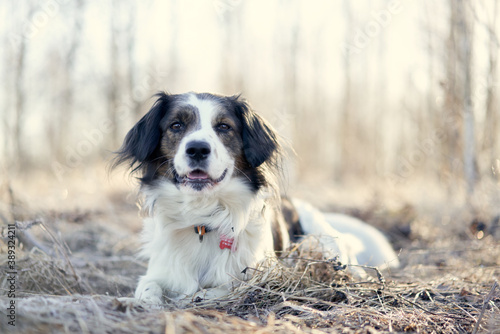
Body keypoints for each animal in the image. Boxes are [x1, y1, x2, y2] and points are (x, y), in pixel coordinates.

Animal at [115, 90, 400, 302]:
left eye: (224, 126)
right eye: (176, 125)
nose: (197, 149)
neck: (204, 220)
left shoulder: (264, 271)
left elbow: (227, 285)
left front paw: (201, 295)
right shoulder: (158, 272)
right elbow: (148, 289)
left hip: (319, 245)